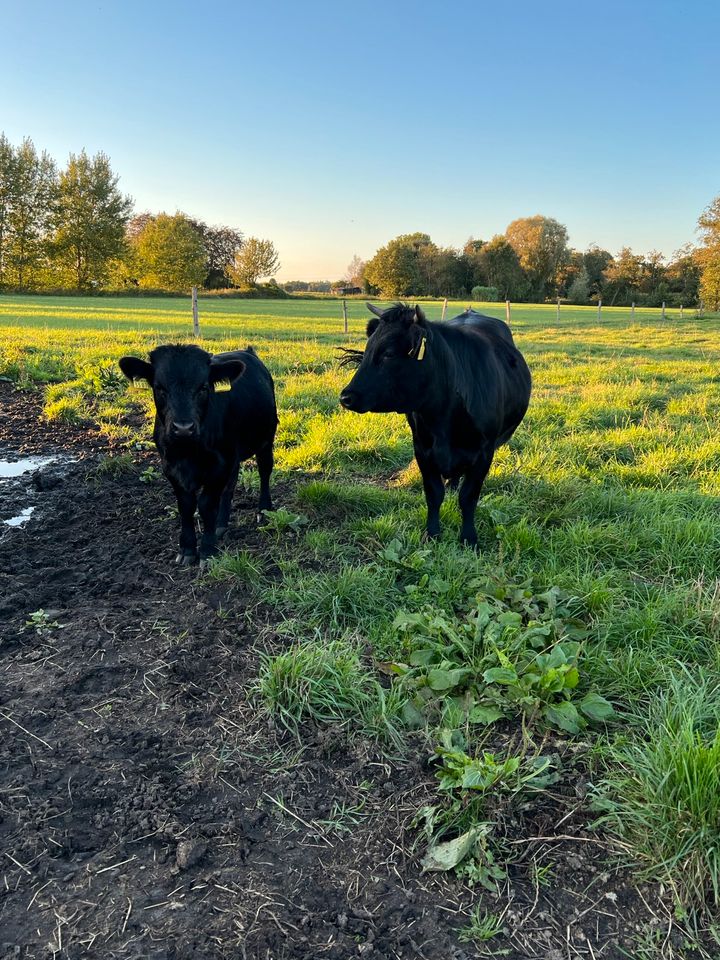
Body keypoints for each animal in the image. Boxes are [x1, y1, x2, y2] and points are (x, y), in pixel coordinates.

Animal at [119, 344, 278, 564]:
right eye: (159, 388)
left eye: (203, 387)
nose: (183, 428)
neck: (188, 451)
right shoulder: (171, 467)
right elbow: (186, 506)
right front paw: (187, 549)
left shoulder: (219, 466)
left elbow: (206, 504)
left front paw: (208, 550)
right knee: (230, 486)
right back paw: (221, 523)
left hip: (265, 439)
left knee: (264, 471)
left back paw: (263, 510)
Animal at [340, 304, 532, 548]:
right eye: (366, 351)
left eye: (389, 353)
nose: (346, 397)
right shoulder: (422, 449)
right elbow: (434, 494)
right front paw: (432, 534)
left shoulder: (484, 453)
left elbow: (468, 497)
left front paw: (469, 538)